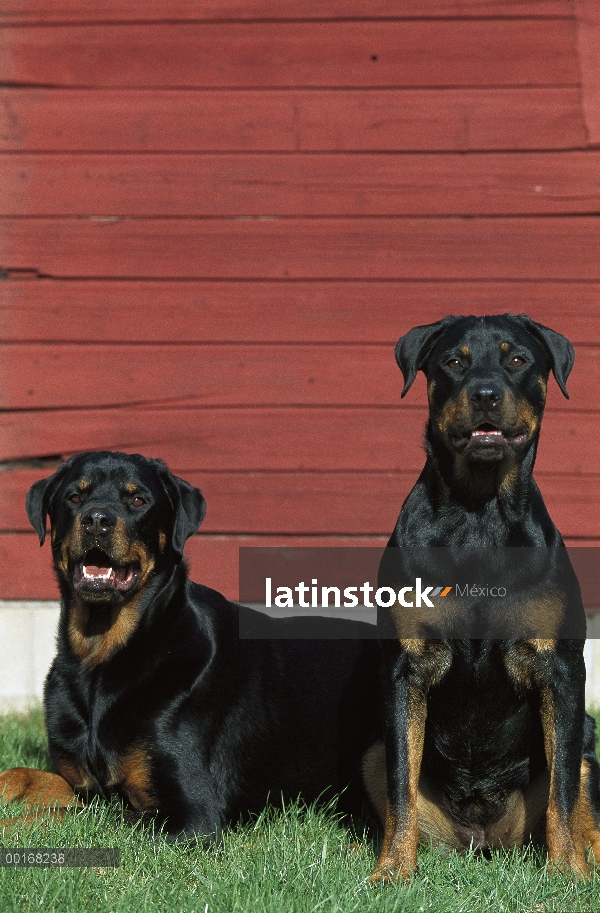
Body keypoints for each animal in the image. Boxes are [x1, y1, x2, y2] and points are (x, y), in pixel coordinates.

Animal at [0, 452, 382, 836]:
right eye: (74, 497)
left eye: (138, 500)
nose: (96, 520)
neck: (103, 657)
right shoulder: (80, 780)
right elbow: (26, 776)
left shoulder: (192, 815)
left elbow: (73, 815)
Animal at [364, 314, 600, 876]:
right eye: (454, 361)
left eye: (517, 359)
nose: (486, 394)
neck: (479, 516)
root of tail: (486, 839)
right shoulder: (404, 668)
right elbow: (401, 786)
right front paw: (392, 872)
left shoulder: (561, 669)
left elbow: (562, 793)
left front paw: (567, 874)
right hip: (371, 750)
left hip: (588, 742)